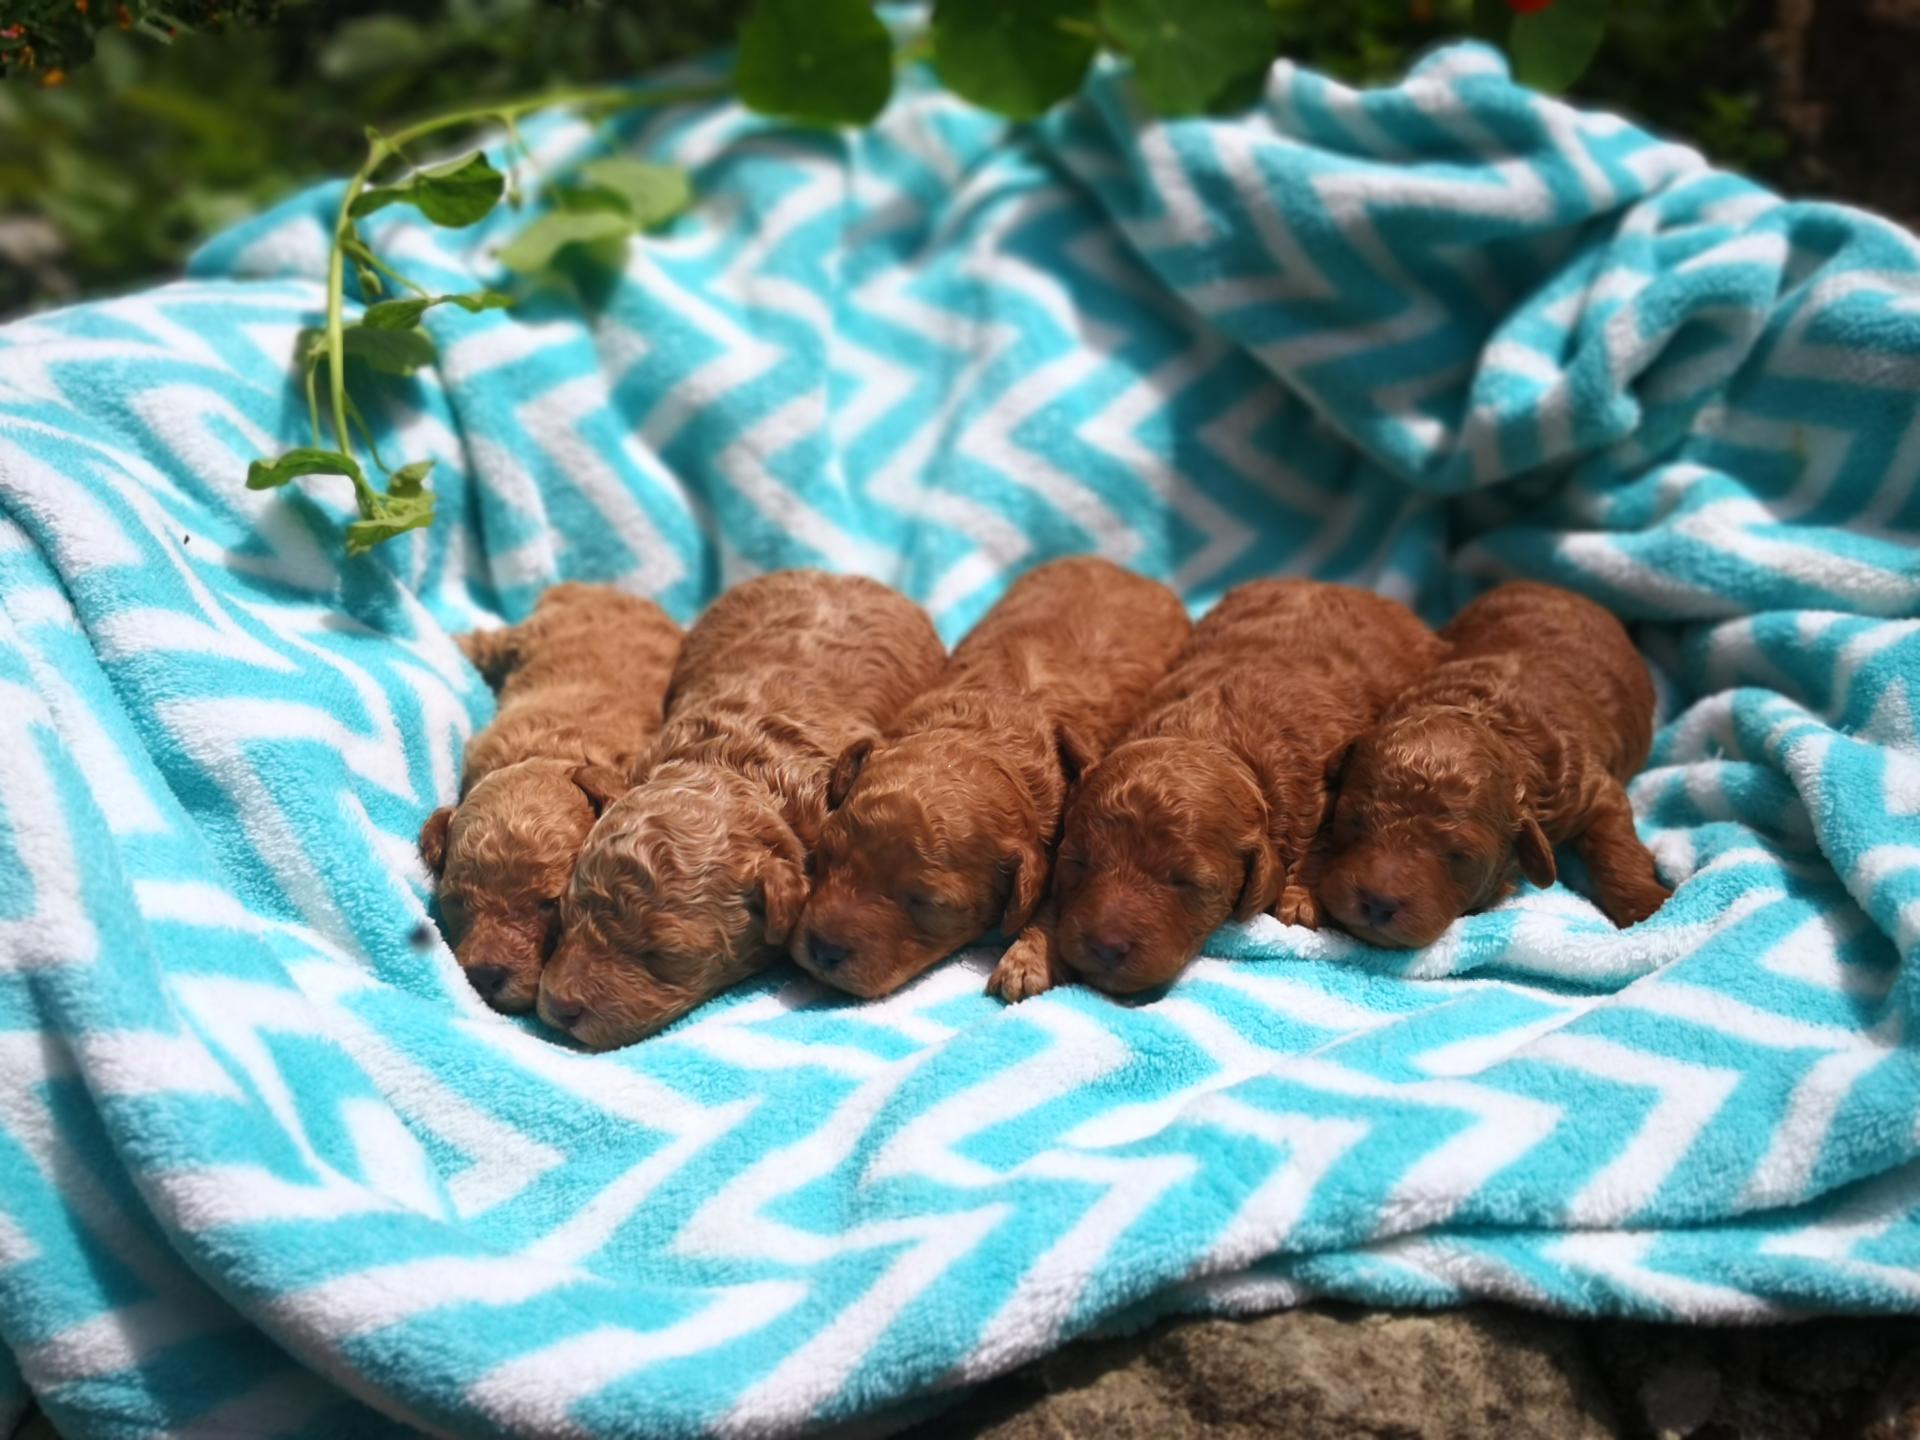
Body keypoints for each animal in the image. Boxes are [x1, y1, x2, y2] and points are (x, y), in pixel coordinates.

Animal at [791, 556, 1182, 1006]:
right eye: (825, 854)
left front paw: (1026, 962)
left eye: (927, 902)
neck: (990, 724)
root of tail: (1125, 569)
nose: (823, 949)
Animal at [1044, 579, 1443, 998]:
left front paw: (1300, 898)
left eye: (1186, 882)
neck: (1208, 734)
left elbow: (1324, 839)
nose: (1106, 947)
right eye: (1077, 862)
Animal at [1320, 579, 1666, 952]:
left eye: (1459, 855)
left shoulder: (1589, 787)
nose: (1378, 902)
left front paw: (1649, 907)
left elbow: (1615, 846)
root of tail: (1559, 588)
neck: (1490, 716)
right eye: (1352, 821)